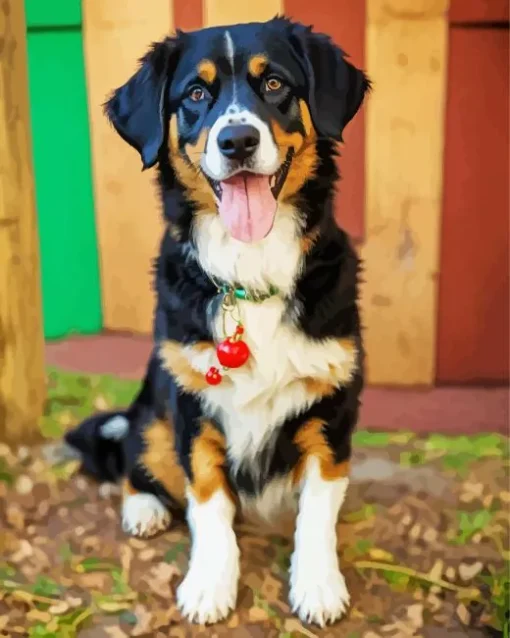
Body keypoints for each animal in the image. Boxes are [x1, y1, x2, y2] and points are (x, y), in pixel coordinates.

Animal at [66, 15, 370, 632]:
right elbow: (208, 504)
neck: (250, 271)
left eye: (274, 84)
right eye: (196, 95)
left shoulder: (332, 409)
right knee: (132, 455)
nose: (238, 141)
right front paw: (209, 585)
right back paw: (143, 507)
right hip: (152, 409)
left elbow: (317, 513)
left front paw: (318, 585)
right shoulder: (190, 406)